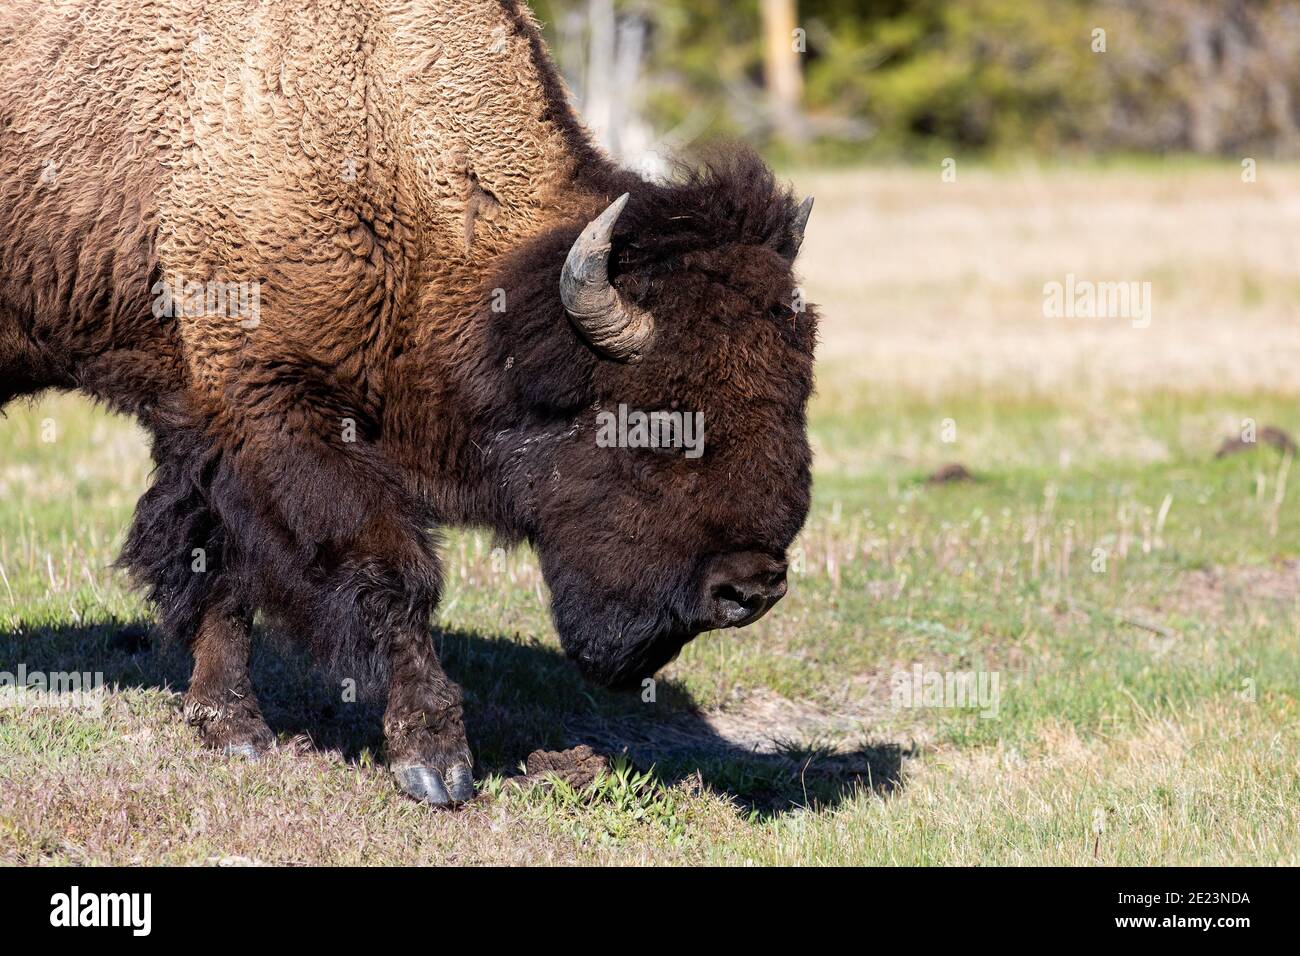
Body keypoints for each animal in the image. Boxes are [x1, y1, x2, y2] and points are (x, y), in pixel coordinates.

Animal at [2, 0, 811, 806]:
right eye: (659, 423)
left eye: (798, 395)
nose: (752, 588)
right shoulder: (277, 418)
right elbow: (389, 573)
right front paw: (436, 763)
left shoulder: (209, 426)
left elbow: (218, 572)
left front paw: (231, 730)